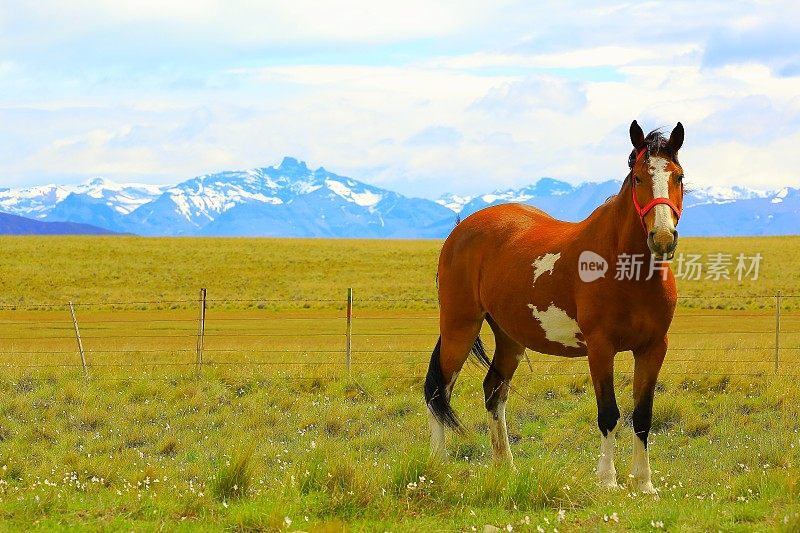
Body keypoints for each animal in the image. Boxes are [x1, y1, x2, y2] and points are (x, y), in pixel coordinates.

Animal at [428, 120, 684, 494]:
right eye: (638, 177)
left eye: (678, 176)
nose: (663, 238)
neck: (628, 271)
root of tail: (461, 229)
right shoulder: (600, 347)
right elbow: (609, 414)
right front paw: (608, 481)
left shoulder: (653, 348)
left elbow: (642, 415)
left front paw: (644, 484)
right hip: (459, 327)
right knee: (439, 391)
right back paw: (438, 465)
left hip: (509, 337)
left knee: (494, 392)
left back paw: (506, 466)